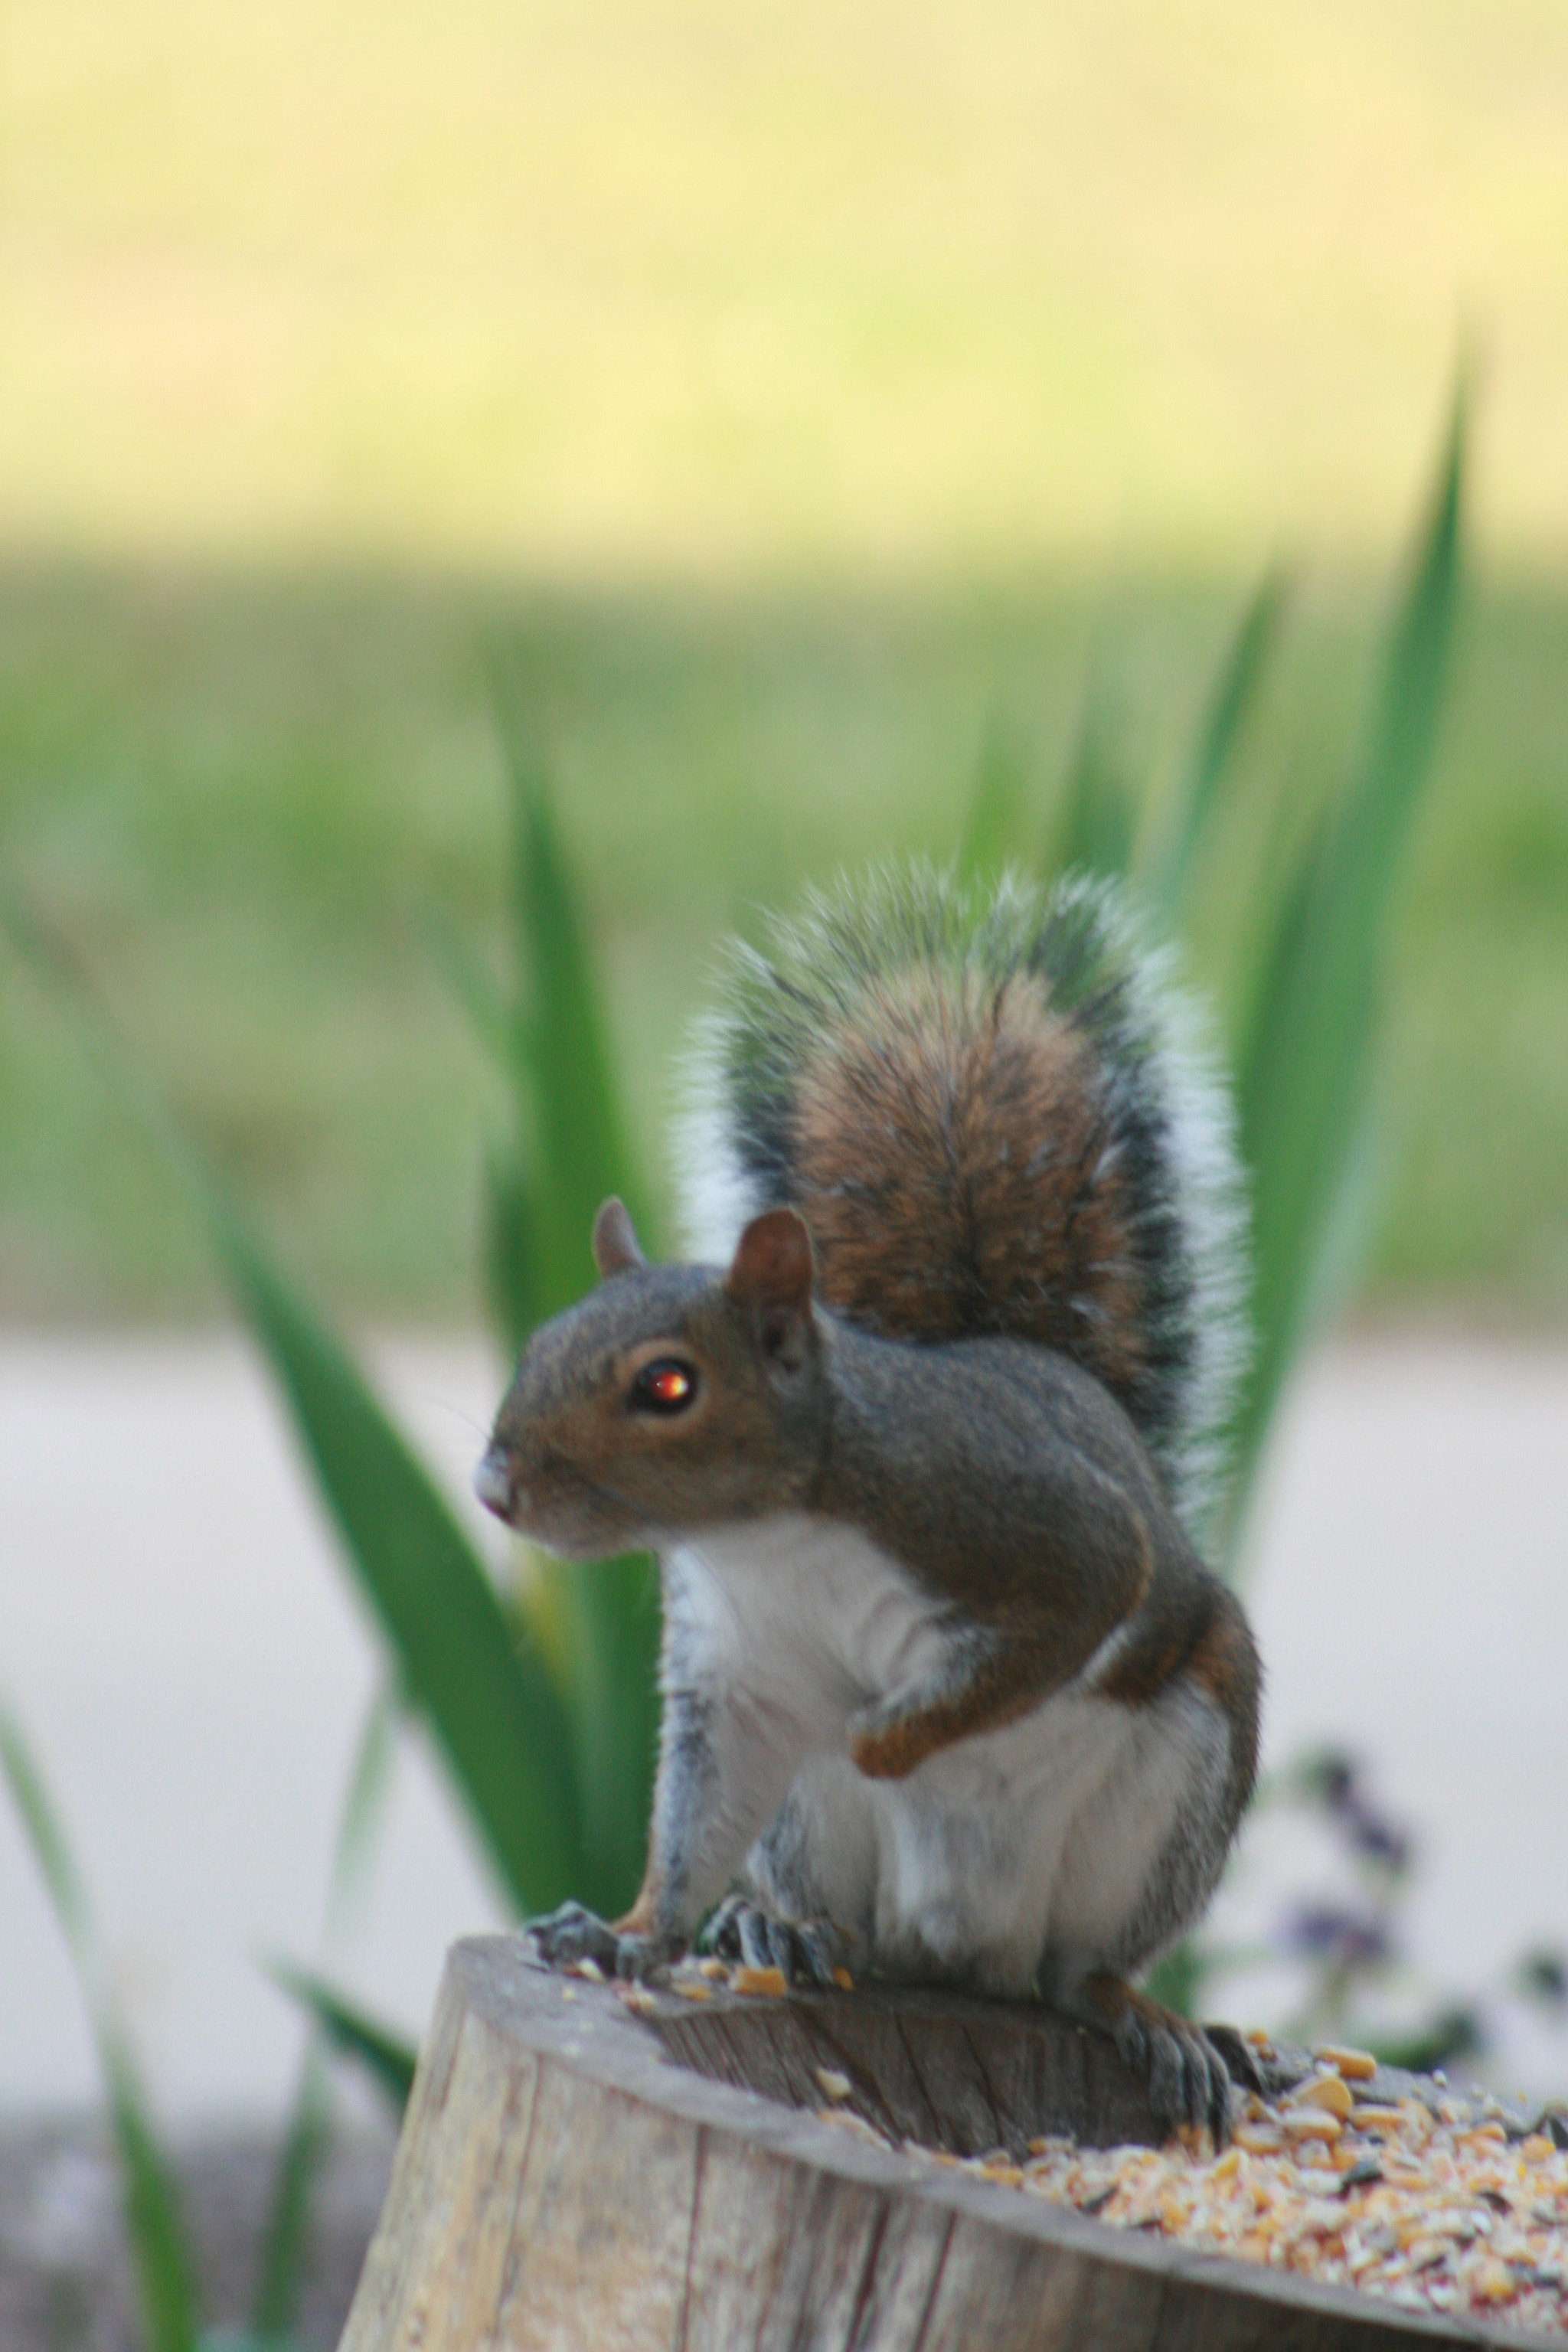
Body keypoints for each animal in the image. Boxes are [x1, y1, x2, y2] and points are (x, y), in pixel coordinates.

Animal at [474, 866, 1262, 2139]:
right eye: (538, 1343)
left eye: (666, 1386)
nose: (495, 1487)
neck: (772, 1532)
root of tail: (963, 1953)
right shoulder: (739, 1672)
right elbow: (697, 1829)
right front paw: (630, 1934)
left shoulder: (1034, 1535)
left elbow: (1049, 1636)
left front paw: (888, 1739)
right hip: (811, 1833)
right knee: (843, 1921)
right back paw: (783, 1929)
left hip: (1174, 1785)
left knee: (1077, 1970)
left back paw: (1142, 2015)